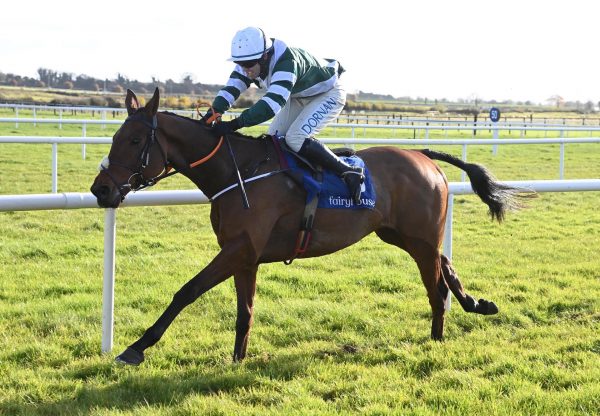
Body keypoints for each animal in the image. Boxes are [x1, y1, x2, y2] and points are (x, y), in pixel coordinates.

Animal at [90, 87, 528, 364]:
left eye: (133, 141)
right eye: (113, 137)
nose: (101, 188)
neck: (239, 171)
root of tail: (422, 154)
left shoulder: (238, 249)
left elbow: (186, 291)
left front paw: (136, 347)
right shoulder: (245, 254)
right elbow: (245, 311)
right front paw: (237, 360)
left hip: (419, 239)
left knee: (436, 287)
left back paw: (436, 339)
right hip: (402, 234)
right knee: (445, 266)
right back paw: (476, 304)